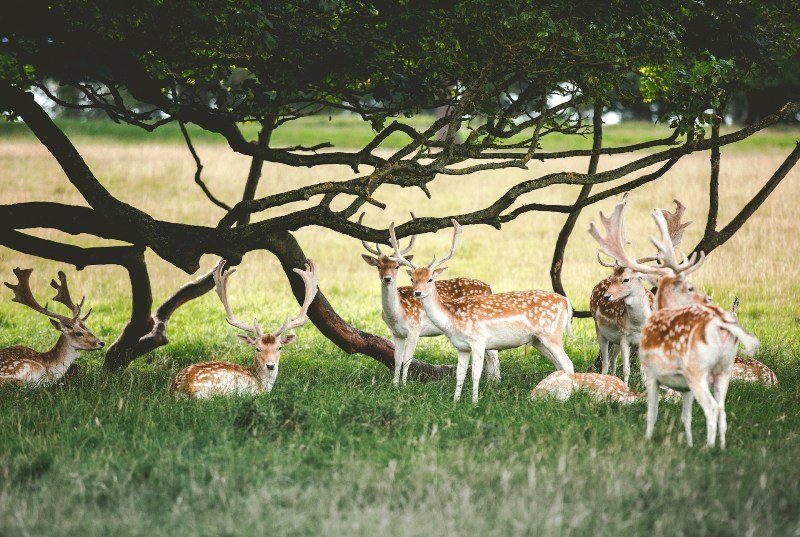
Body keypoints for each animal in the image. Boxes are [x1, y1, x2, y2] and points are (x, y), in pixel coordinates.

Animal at [360, 213, 496, 386]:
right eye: (378, 266)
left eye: (397, 266)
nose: (387, 278)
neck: (397, 313)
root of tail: (489, 287)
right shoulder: (396, 333)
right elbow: (396, 359)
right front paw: (394, 384)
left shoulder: (414, 328)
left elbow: (407, 359)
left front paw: (404, 385)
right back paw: (491, 382)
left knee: (493, 354)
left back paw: (496, 382)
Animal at [390, 218, 572, 402]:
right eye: (412, 279)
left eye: (430, 279)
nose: (417, 293)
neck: (452, 319)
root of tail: (565, 301)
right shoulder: (461, 346)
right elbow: (460, 374)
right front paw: (455, 401)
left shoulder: (478, 341)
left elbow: (475, 374)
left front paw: (474, 401)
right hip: (537, 340)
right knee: (559, 365)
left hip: (552, 335)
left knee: (568, 363)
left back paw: (567, 398)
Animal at [588, 197, 692, 386]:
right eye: (613, 278)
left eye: (626, 279)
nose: (607, 296)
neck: (638, 325)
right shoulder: (624, 336)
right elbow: (627, 368)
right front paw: (626, 387)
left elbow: (644, 370)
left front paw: (643, 386)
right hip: (599, 328)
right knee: (606, 360)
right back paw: (604, 378)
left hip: (613, 339)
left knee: (612, 358)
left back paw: (612, 377)